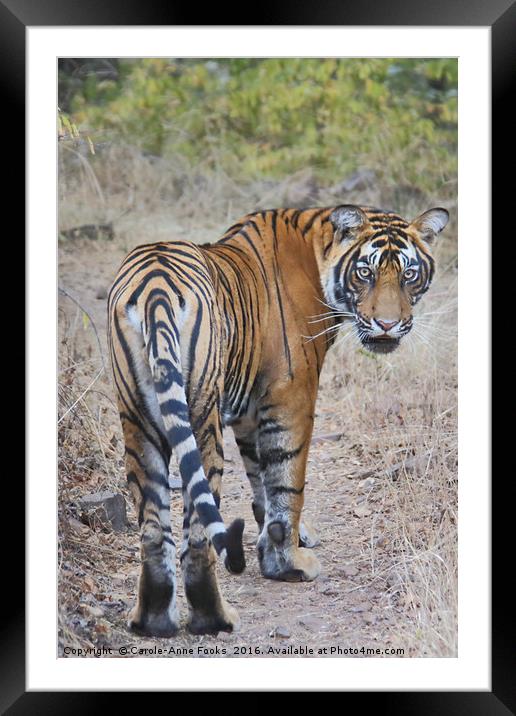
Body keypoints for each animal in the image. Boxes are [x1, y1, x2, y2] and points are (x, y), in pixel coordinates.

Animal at [108, 204, 448, 636]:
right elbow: (288, 483)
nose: (386, 325)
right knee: (198, 531)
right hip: (201, 416)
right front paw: (289, 564)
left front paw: (274, 545)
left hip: (137, 419)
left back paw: (153, 622)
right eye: (365, 272)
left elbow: (261, 480)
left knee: (153, 529)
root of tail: (155, 288)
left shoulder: (249, 410)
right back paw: (214, 619)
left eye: (409, 275)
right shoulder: (292, 396)